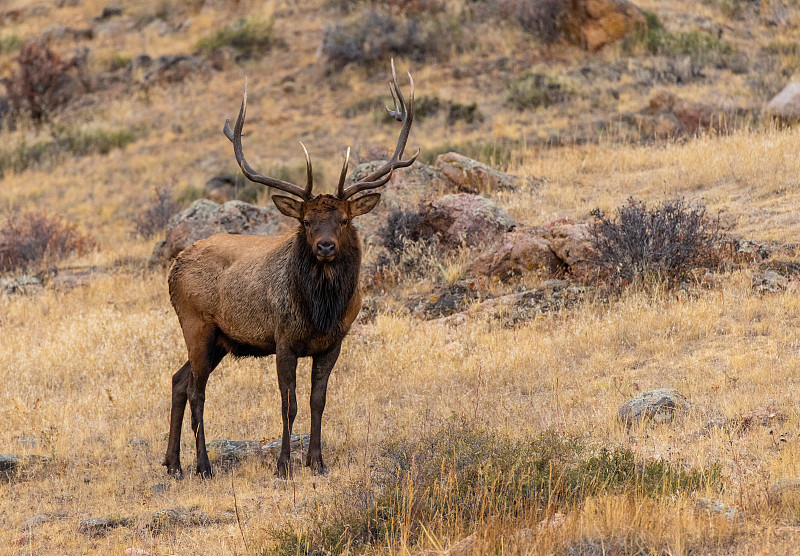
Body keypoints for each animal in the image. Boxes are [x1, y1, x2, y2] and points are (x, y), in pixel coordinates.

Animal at [163, 62, 418, 478]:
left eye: (344, 219)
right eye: (306, 221)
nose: (325, 247)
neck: (320, 311)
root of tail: (173, 268)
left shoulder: (333, 342)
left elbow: (318, 401)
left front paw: (317, 461)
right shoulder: (283, 339)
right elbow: (289, 403)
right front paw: (284, 465)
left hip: (219, 340)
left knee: (179, 379)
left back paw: (172, 463)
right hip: (196, 323)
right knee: (197, 389)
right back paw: (202, 465)